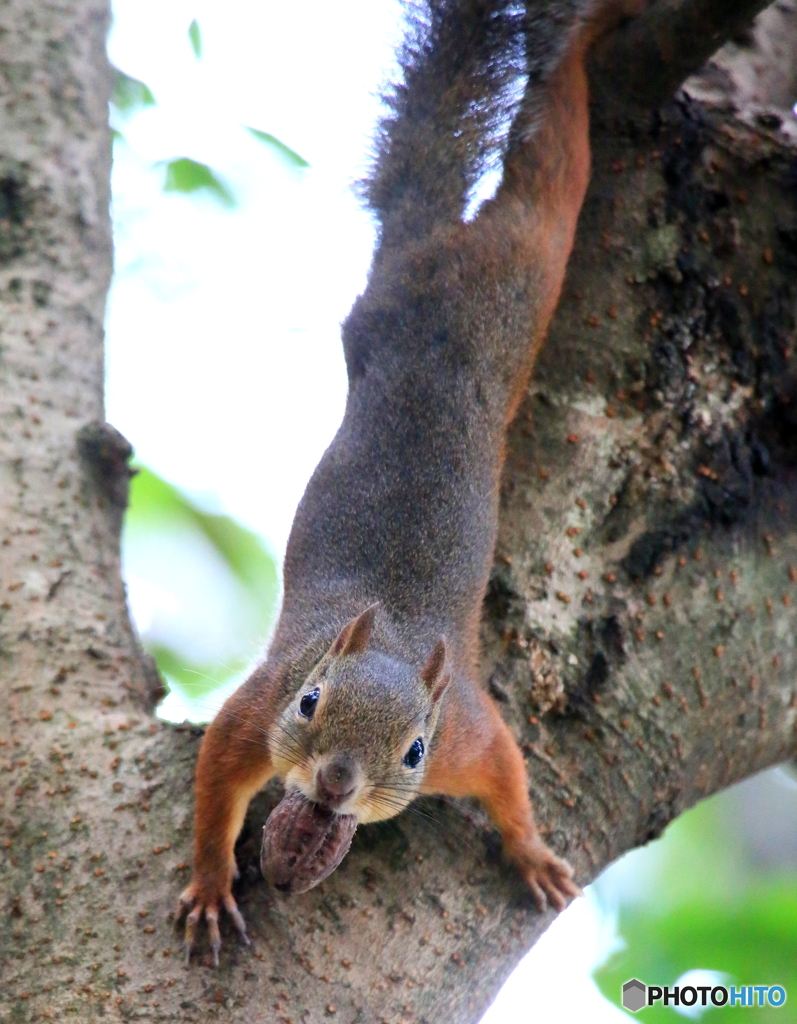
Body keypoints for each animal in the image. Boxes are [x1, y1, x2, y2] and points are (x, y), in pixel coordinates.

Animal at [180, 0, 647, 962]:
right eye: (310, 701)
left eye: (413, 754)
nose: (333, 782)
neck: (387, 642)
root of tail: (433, 248)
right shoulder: (256, 714)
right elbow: (213, 787)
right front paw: (209, 885)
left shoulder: (465, 730)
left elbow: (508, 774)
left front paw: (531, 854)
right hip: (509, 272)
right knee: (548, 175)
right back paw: (580, 46)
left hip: (511, 290)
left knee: (543, 177)